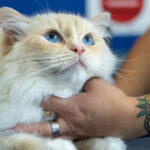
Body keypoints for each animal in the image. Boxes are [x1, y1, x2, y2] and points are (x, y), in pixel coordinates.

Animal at [0, 6, 126, 150]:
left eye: (88, 39)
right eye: (52, 37)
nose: (79, 48)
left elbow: (87, 140)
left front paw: (108, 142)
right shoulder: (8, 131)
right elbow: (21, 139)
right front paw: (59, 144)